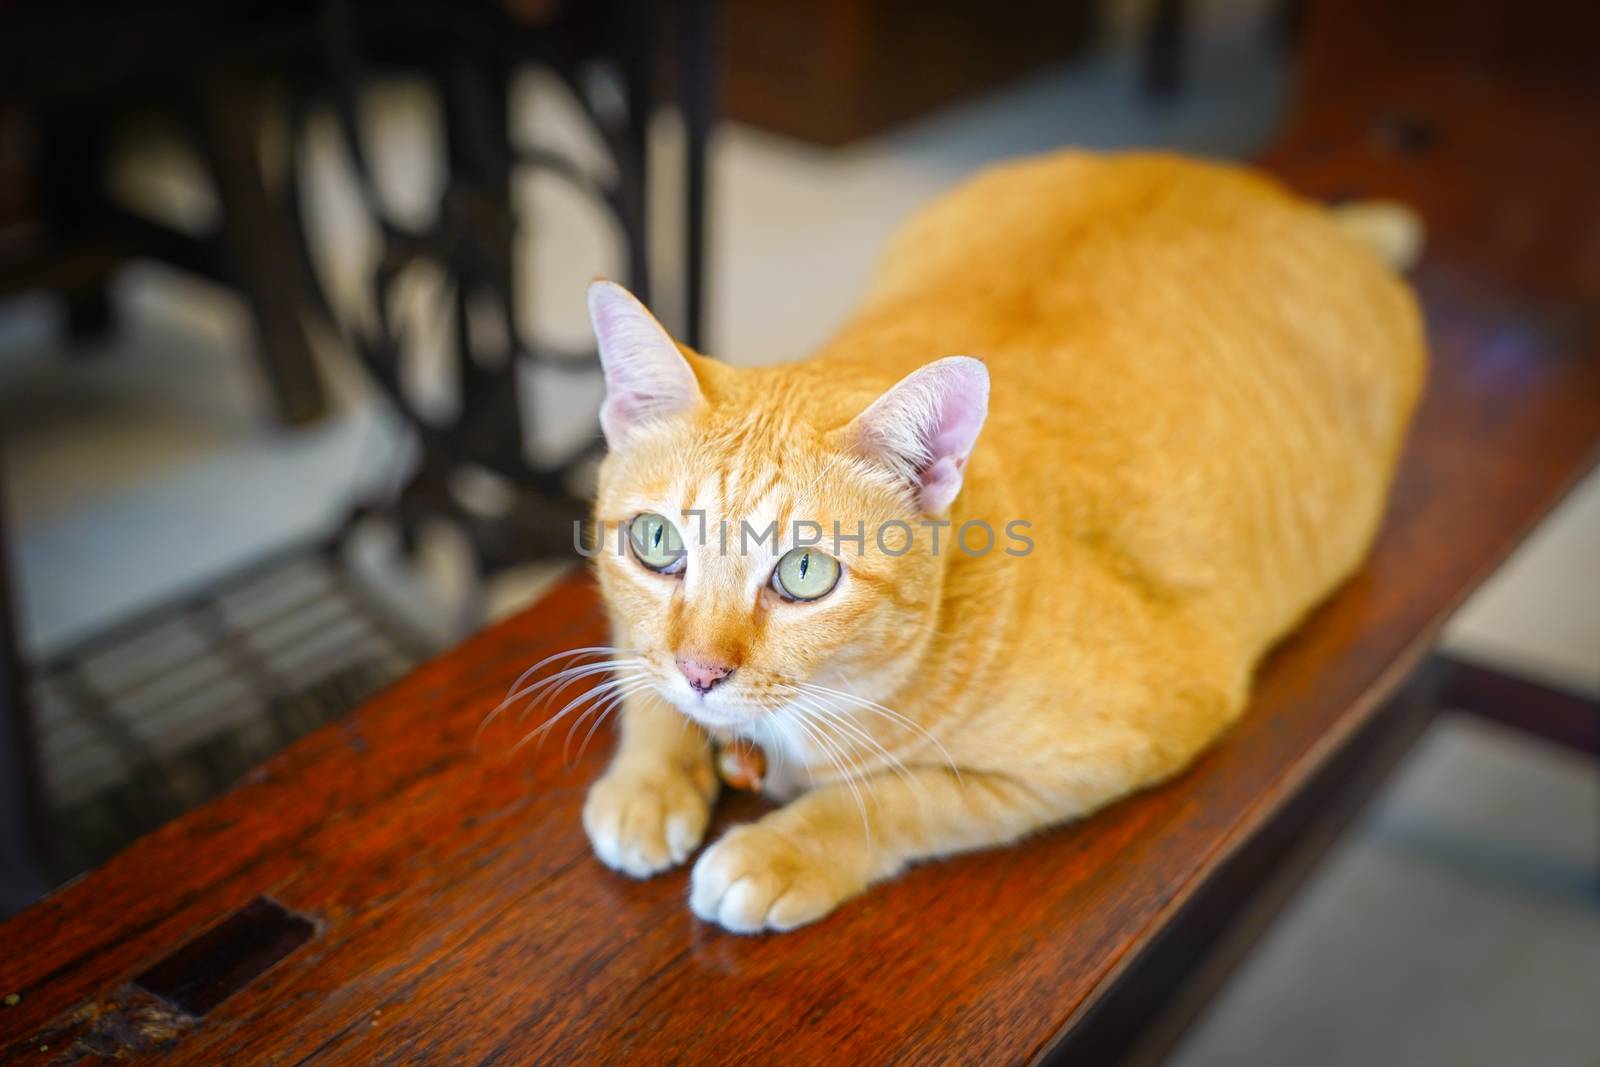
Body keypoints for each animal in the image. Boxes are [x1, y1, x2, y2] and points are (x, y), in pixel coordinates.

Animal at [569, 151, 1420, 934]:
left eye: (804, 572)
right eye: (656, 541)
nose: (702, 672)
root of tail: (1269, 192)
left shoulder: (1108, 746)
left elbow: (897, 796)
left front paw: (780, 849)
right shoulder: (640, 635)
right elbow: (642, 670)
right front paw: (647, 781)